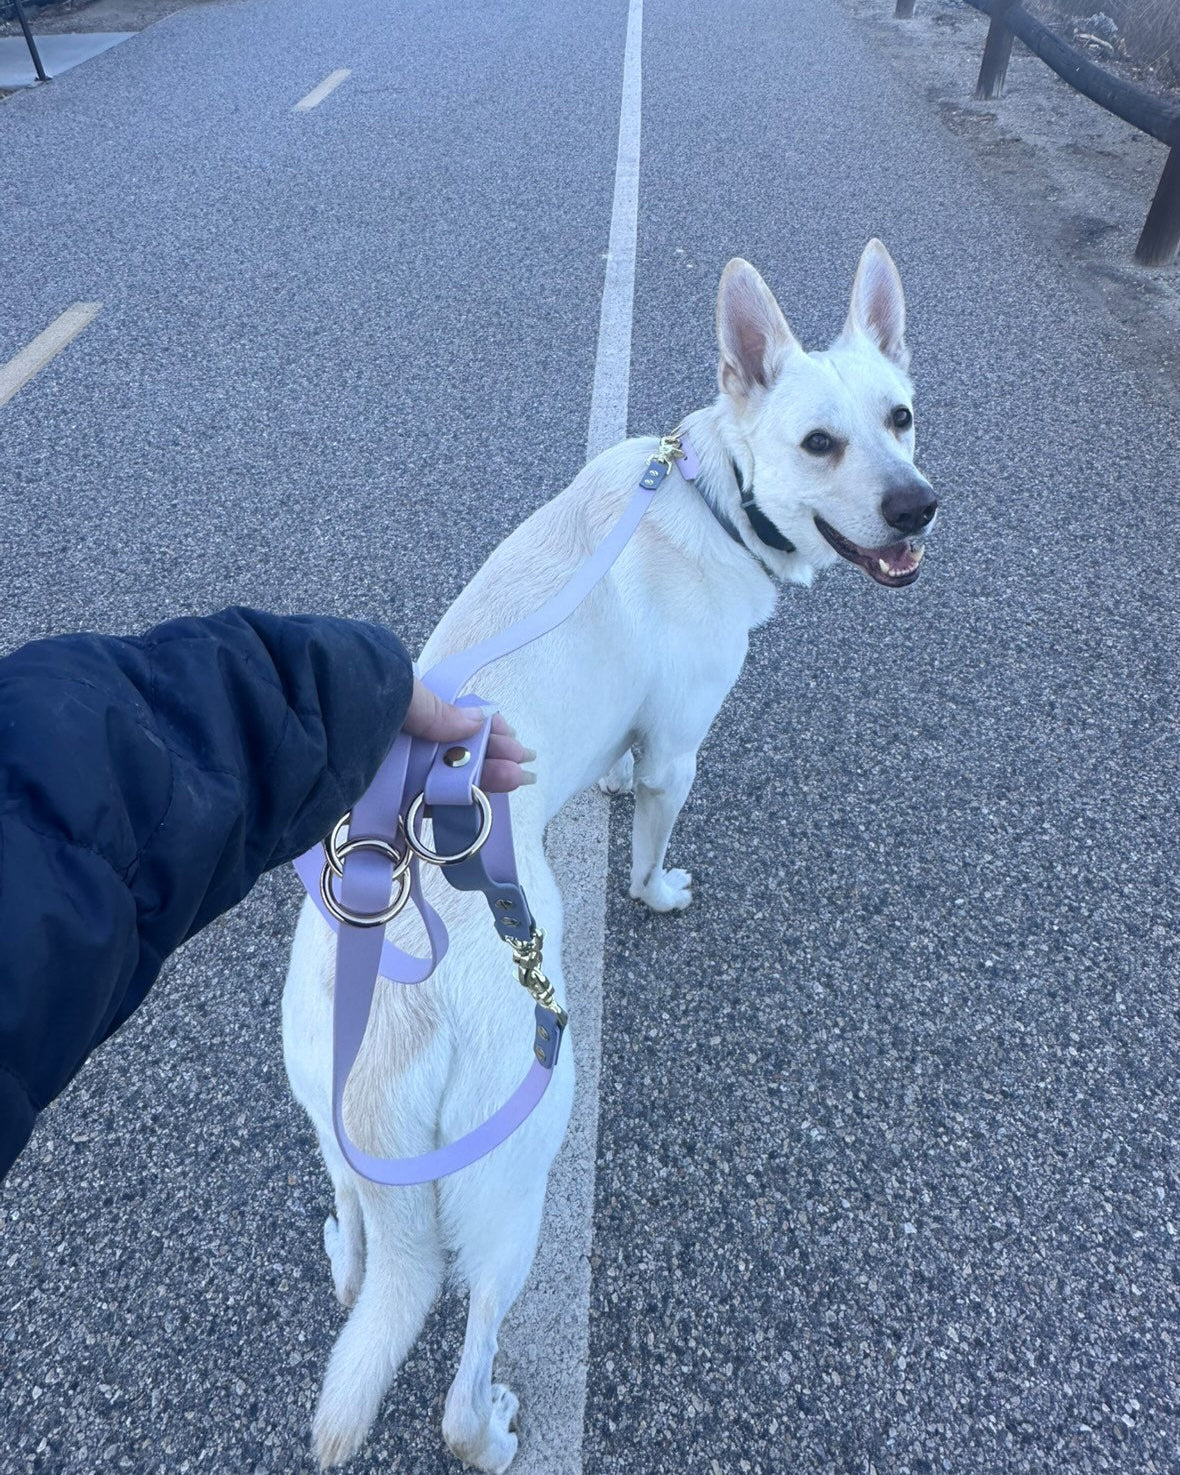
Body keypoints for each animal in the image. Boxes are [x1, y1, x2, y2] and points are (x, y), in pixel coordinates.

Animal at [281, 236, 938, 1469]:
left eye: (902, 416)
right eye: (820, 444)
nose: (921, 502)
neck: (718, 496)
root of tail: (390, 1026)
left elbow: (623, 776)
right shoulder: (682, 742)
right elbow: (650, 842)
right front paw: (658, 886)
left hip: (335, 1123)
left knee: (352, 1246)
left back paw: (347, 1258)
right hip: (521, 1158)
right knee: (463, 1363)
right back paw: (490, 1427)